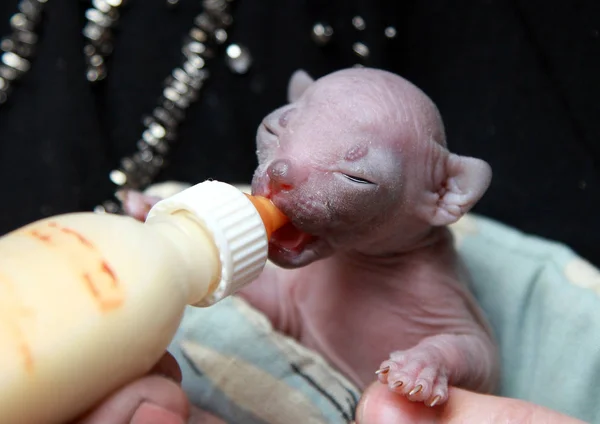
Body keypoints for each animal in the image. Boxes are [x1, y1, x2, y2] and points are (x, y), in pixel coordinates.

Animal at [120, 68, 496, 410]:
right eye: (272, 129)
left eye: (357, 179)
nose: (279, 174)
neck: (363, 265)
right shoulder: (292, 311)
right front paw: (149, 209)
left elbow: (476, 353)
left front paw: (422, 366)